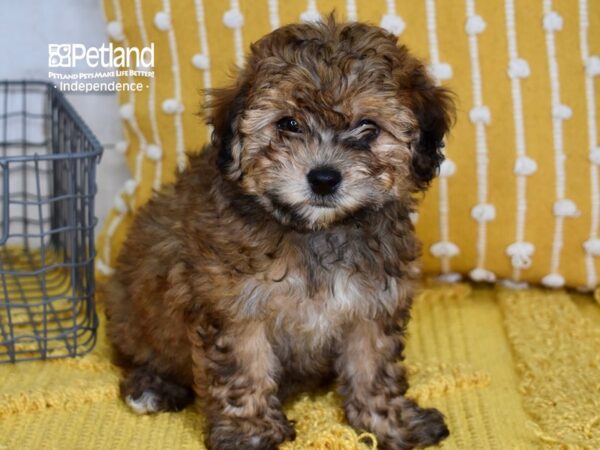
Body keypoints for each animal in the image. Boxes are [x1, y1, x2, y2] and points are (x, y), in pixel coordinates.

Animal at [106, 15, 454, 448]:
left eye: (368, 127)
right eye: (288, 124)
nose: (323, 178)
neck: (317, 231)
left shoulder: (372, 304)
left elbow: (372, 366)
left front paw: (390, 420)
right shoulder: (234, 308)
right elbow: (245, 370)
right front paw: (250, 432)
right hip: (131, 315)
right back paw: (152, 387)